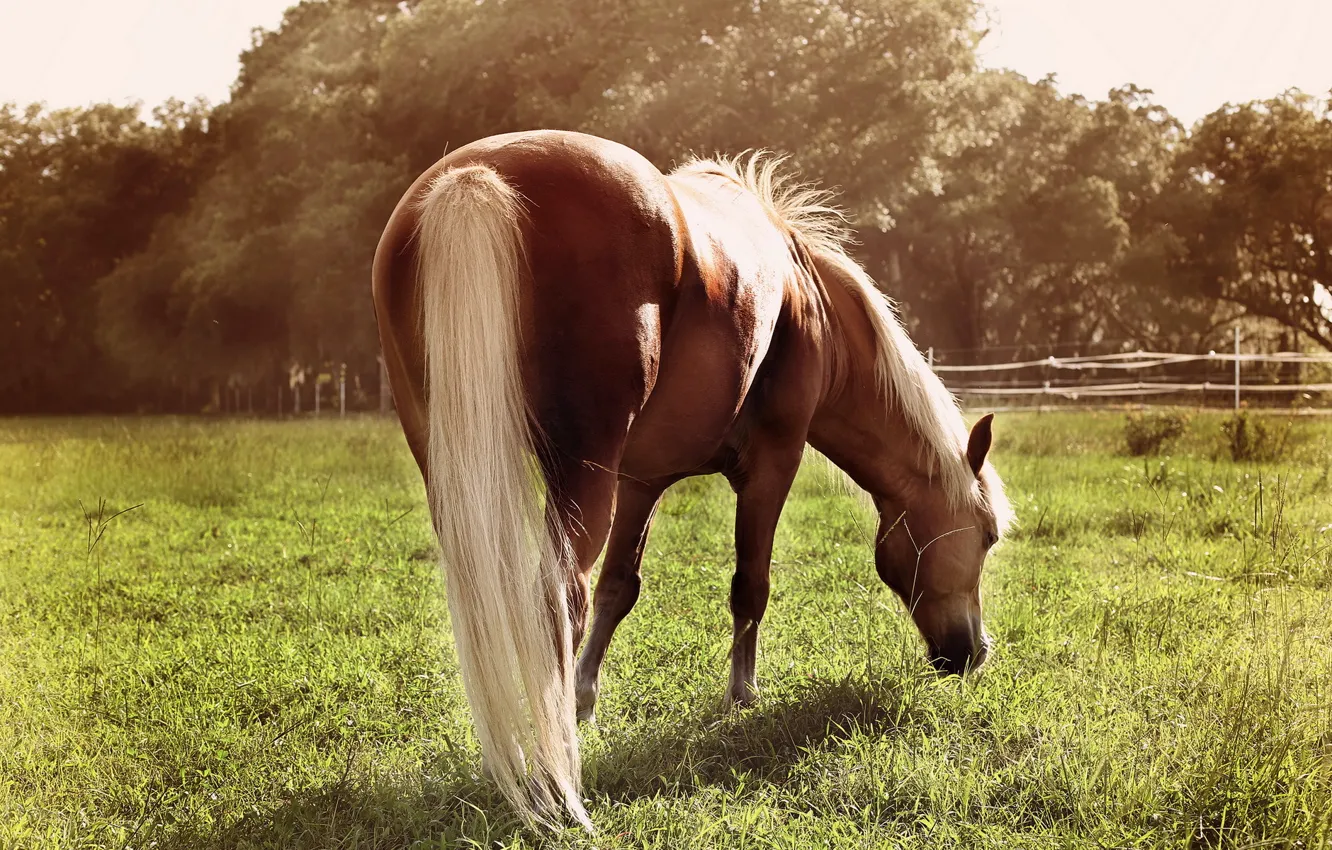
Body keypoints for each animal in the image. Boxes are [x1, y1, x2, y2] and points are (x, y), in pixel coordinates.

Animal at [371, 130, 1013, 829]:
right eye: (986, 536)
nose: (973, 652)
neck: (805, 293)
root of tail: (478, 179)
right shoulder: (772, 462)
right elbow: (749, 586)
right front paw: (742, 697)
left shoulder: (640, 480)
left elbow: (620, 588)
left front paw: (587, 701)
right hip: (579, 476)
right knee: (557, 598)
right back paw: (555, 770)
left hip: (457, 471)